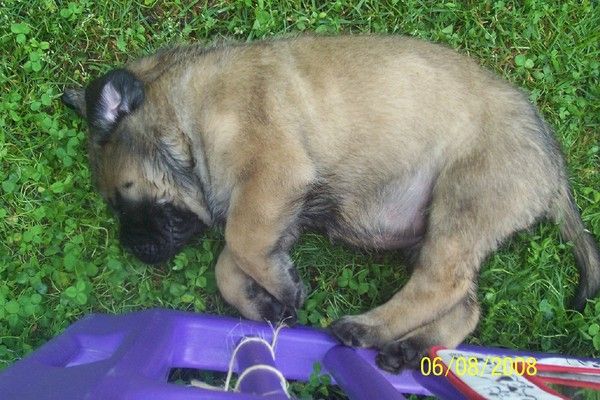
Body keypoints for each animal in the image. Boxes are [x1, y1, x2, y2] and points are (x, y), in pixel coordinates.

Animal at [61, 35, 600, 373]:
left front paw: (281, 288)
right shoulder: (278, 207)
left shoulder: (272, 178)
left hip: (461, 201)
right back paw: (410, 347)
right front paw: (266, 303)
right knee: (466, 304)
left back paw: (366, 328)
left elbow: (241, 240)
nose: (136, 251)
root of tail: (553, 168)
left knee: (441, 283)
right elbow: (230, 263)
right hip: (435, 228)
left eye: (122, 197)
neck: (185, 113)